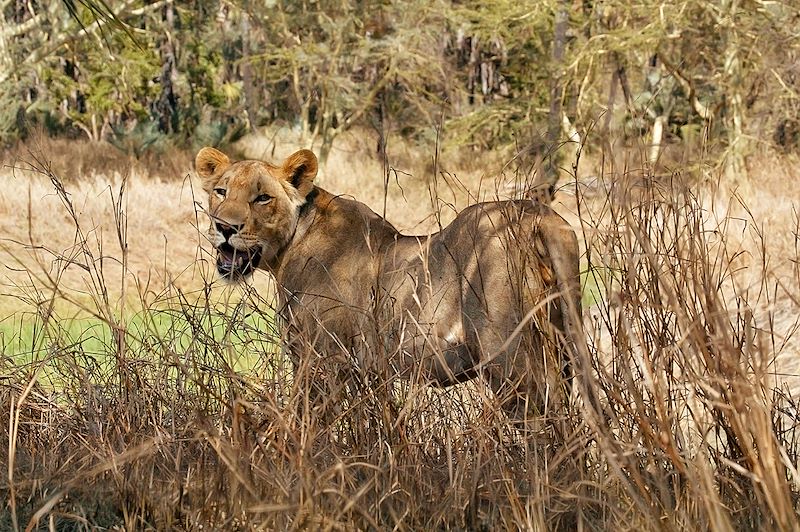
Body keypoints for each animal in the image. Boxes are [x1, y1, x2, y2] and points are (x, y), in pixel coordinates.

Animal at [194, 144, 580, 424]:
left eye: (263, 197)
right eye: (221, 191)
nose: (224, 227)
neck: (289, 246)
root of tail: (540, 218)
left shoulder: (322, 361)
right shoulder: (369, 369)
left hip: (507, 356)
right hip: (562, 348)